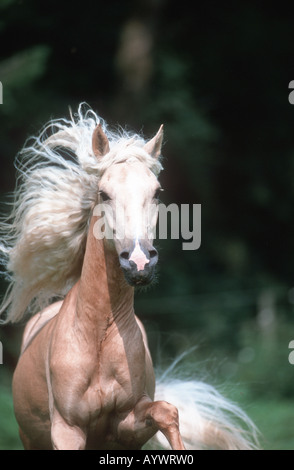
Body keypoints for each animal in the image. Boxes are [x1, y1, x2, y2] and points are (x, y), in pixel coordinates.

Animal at [0, 104, 258, 450]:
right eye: (104, 193)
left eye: (157, 192)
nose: (138, 262)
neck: (98, 337)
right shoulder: (67, 429)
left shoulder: (125, 426)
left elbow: (167, 412)